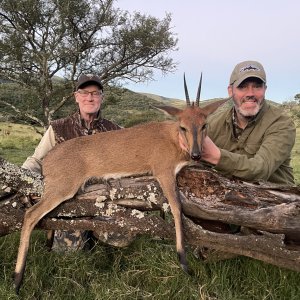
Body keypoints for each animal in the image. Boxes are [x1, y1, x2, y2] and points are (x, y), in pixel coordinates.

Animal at [12, 74, 226, 292]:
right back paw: (17, 279)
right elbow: (176, 207)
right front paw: (183, 262)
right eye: (182, 126)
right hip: (61, 189)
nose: (196, 154)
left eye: (204, 124)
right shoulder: (163, 172)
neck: (174, 140)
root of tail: (46, 160)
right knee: (30, 215)